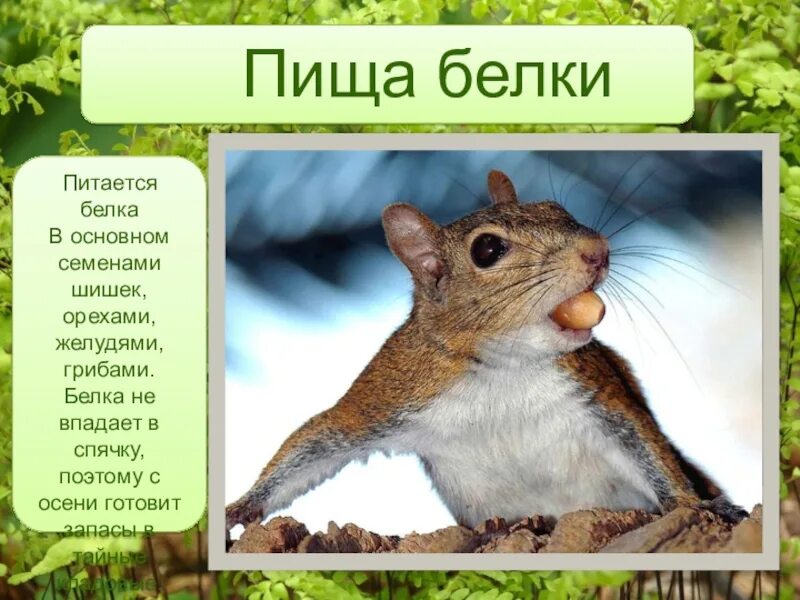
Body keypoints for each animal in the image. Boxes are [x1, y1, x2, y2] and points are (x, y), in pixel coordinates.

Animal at [226, 169, 747, 540]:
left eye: (557, 208)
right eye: (488, 249)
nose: (597, 250)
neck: (506, 369)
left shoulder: (598, 389)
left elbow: (646, 443)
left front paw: (694, 505)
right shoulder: (393, 388)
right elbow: (323, 437)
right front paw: (241, 506)